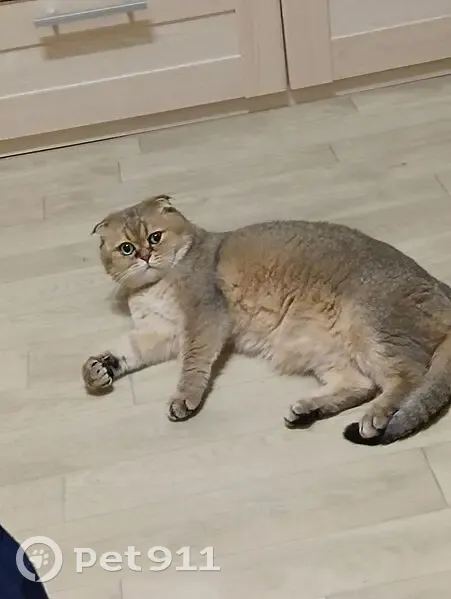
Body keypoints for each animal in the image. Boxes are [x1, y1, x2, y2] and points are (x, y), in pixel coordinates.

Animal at [82, 194, 451, 445]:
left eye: (155, 237)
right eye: (126, 248)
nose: (145, 256)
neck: (155, 284)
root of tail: (440, 288)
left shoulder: (203, 316)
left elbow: (193, 363)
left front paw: (184, 398)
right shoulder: (160, 330)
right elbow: (127, 349)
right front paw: (98, 368)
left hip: (369, 327)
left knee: (408, 378)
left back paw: (374, 417)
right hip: (321, 348)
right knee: (361, 384)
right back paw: (307, 411)